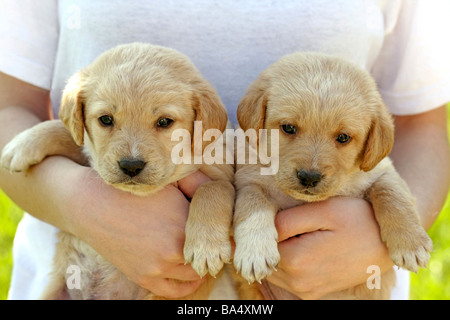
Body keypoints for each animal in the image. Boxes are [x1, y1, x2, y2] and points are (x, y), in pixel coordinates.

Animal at [1, 43, 236, 300]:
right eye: (106, 119)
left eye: (165, 122)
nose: (131, 165)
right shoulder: (90, 154)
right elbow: (67, 133)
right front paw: (23, 144)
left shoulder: (225, 175)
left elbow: (212, 189)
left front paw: (206, 247)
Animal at [232, 52, 432, 300]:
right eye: (288, 128)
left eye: (343, 137)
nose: (309, 177)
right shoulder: (248, 180)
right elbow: (253, 204)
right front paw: (255, 251)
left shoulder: (382, 170)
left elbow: (392, 194)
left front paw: (411, 243)